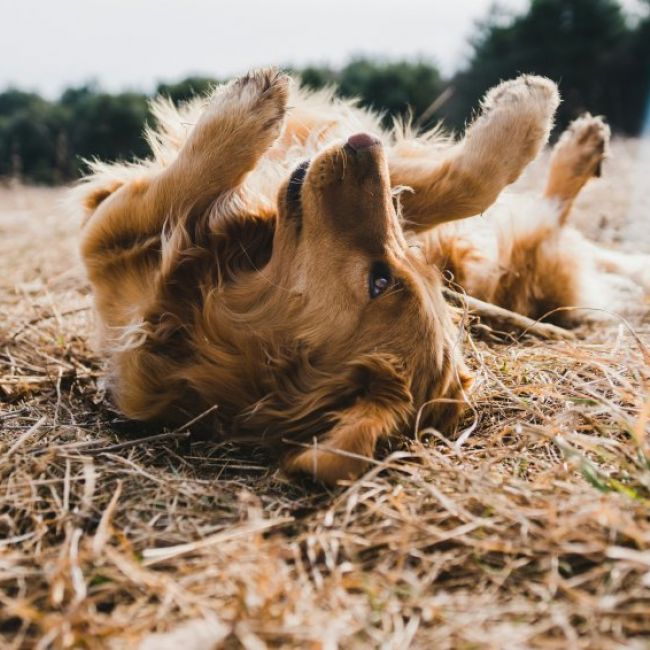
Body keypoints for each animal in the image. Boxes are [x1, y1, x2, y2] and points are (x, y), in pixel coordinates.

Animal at [76, 69, 648, 480]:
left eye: (381, 280)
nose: (365, 143)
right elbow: (458, 186)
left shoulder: (106, 241)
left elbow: (181, 187)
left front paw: (245, 112)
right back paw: (582, 145)